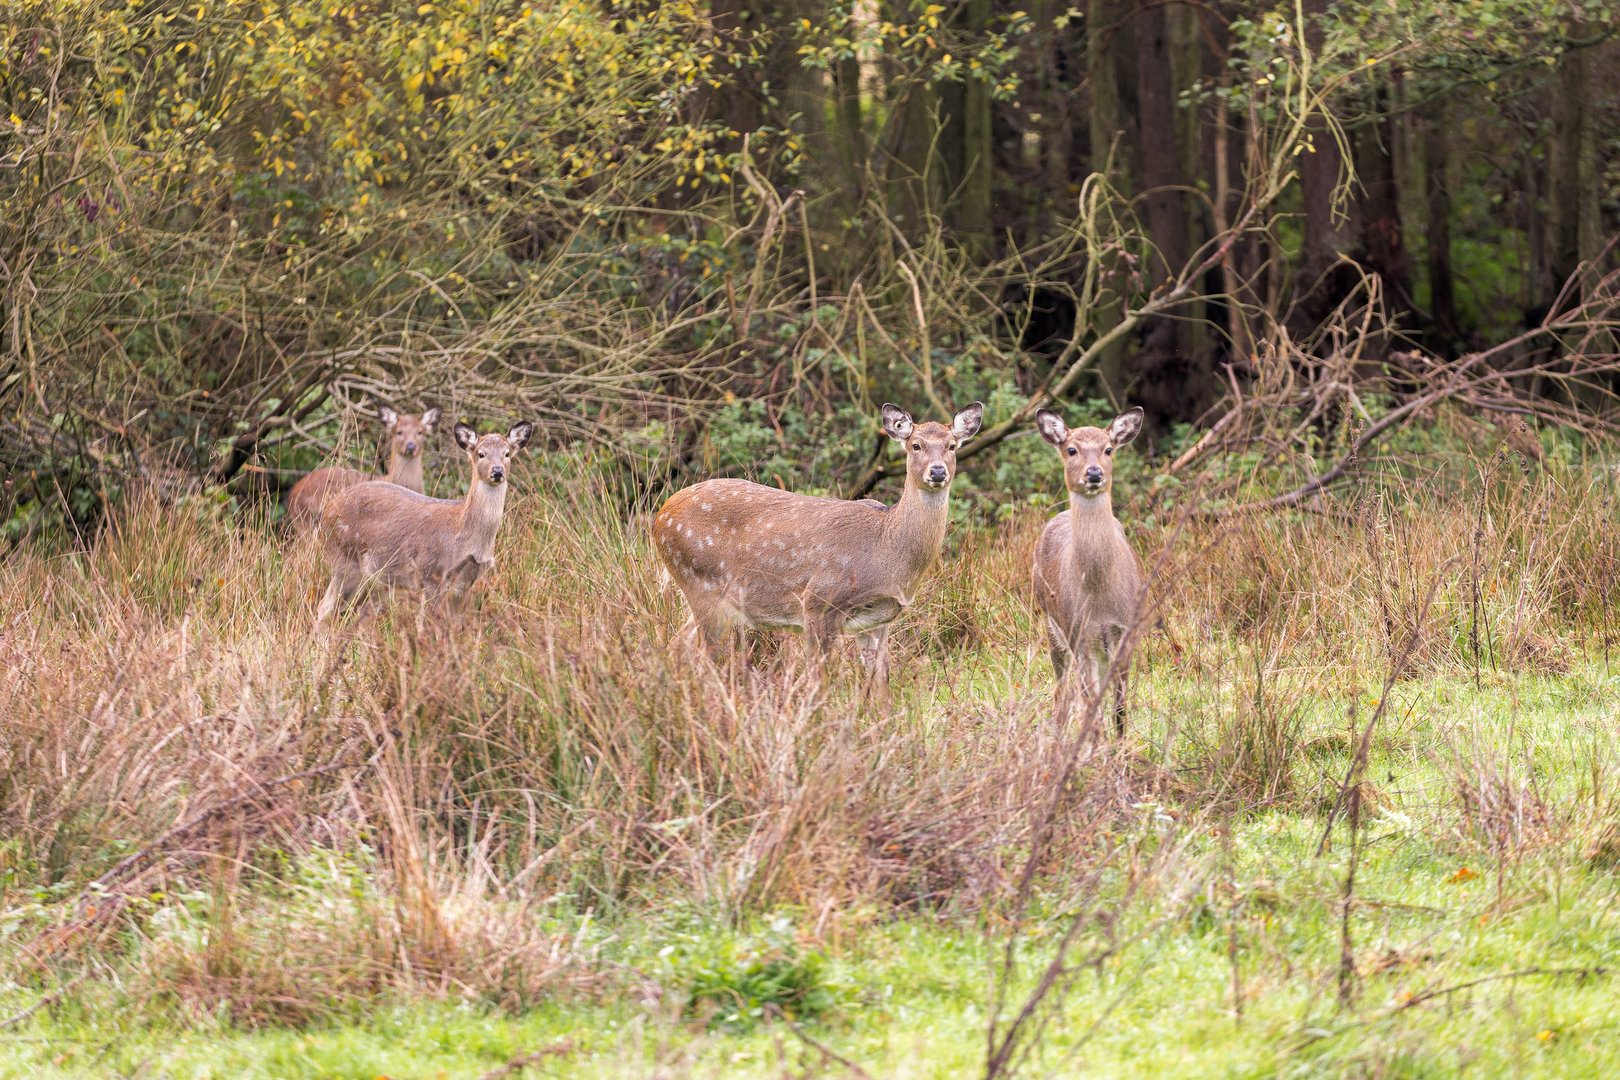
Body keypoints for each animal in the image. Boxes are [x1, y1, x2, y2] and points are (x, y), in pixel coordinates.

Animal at [315, 420, 532, 623]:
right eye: (481, 454)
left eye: (507, 453)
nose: (497, 471)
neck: (465, 536)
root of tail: (327, 510)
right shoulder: (430, 573)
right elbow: (426, 624)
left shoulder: (465, 583)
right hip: (345, 558)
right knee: (324, 608)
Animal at [653, 402, 983, 703]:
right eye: (916, 445)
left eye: (952, 445)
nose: (938, 471)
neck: (887, 553)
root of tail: (660, 517)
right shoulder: (819, 601)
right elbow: (819, 681)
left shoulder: (879, 620)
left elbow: (882, 685)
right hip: (700, 580)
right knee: (705, 659)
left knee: (677, 648)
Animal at [1030, 406, 1144, 736]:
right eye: (1071, 449)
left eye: (1108, 449)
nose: (1094, 473)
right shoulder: (1079, 635)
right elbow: (1093, 707)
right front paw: (1099, 746)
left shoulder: (1126, 632)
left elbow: (1119, 707)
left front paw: (1120, 745)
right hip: (1050, 625)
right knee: (1062, 690)